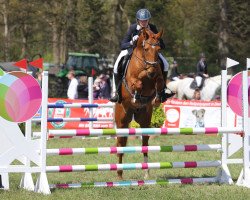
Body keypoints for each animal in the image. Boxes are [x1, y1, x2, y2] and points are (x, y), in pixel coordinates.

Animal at [115, 27, 166, 180]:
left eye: (159, 49)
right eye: (146, 48)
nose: (152, 71)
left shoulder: (158, 77)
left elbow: (159, 81)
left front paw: (157, 98)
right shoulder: (132, 80)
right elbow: (137, 82)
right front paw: (136, 96)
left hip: (144, 120)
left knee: (145, 142)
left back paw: (146, 172)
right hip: (122, 121)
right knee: (120, 144)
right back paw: (119, 174)